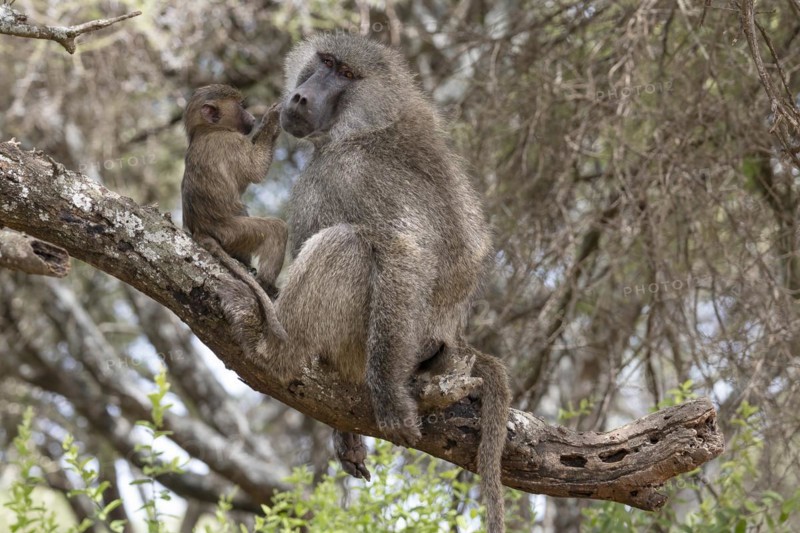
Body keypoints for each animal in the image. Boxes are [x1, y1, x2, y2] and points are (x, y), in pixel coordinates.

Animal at [181, 84, 288, 342]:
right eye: (241, 106)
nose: (252, 117)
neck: (207, 131)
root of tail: (200, 230)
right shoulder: (232, 142)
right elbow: (256, 170)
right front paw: (272, 120)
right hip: (234, 232)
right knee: (276, 230)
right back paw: (267, 285)